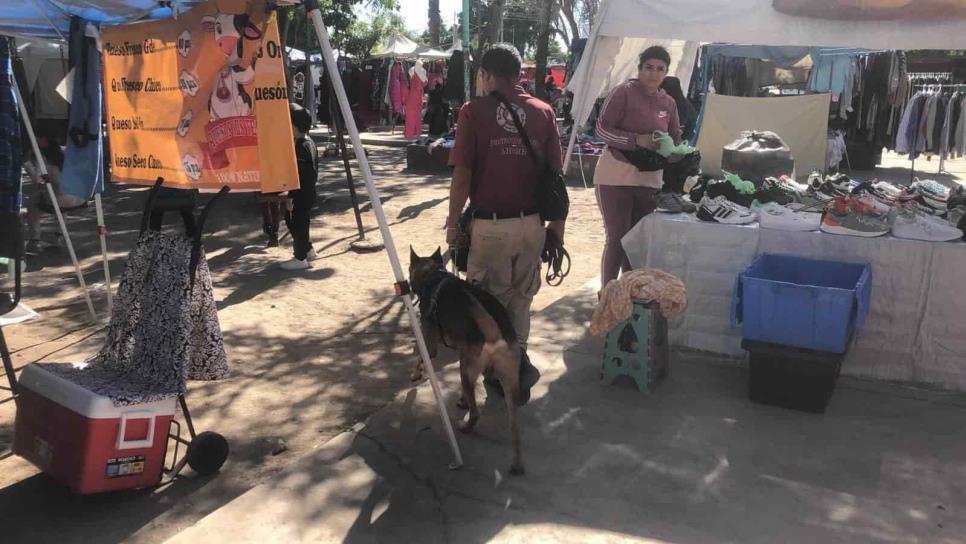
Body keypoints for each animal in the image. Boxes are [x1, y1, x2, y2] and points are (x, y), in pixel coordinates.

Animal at [410, 249, 524, 474]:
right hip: (507, 381)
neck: (432, 274)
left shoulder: (430, 344)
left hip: (466, 369)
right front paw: (462, 400)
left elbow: (421, 355)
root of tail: (495, 333)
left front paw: (416, 373)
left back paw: (465, 427)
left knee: (476, 413)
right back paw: (516, 464)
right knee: (514, 426)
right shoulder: (460, 349)